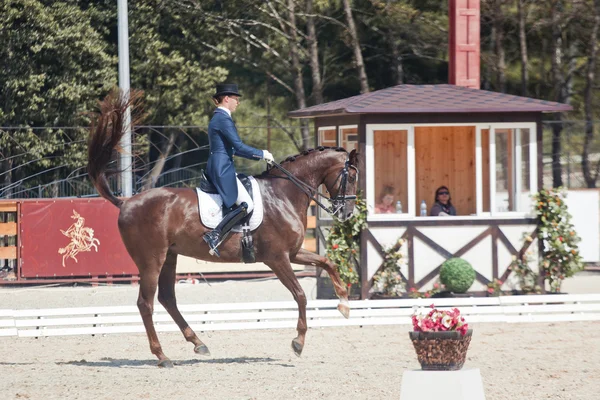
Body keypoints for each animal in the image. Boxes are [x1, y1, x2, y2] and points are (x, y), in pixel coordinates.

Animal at [86, 90, 358, 368]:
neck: (283, 194)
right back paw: (162, 356)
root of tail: (126, 202)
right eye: (353, 176)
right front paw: (298, 343)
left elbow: (327, 262)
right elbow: (301, 294)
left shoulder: (293, 253)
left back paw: (198, 343)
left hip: (169, 256)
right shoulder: (277, 258)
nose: (347, 213)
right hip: (151, 259)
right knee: (146, 303)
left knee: (167, 299)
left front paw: (344, 305)